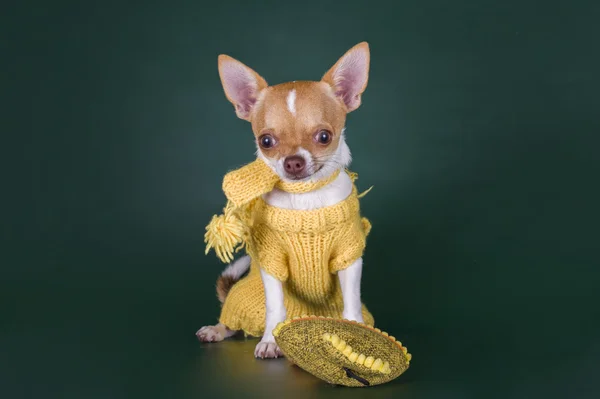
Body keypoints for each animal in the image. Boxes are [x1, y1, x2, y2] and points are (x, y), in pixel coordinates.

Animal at [197, 42, 370, 358]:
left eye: (324, 136)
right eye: (266, 141)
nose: (293, 162)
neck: (306, 199)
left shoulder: (349, 257)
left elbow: (352, 302)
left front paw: (356, 333)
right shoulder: (272, 261)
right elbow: (275, 307)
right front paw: (270, 341)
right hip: (242, 296)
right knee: (230, 320)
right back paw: (216, 330)